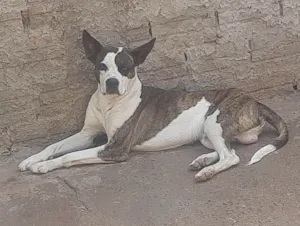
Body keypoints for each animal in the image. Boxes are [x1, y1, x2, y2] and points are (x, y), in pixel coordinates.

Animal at [17, 30, 290, 182]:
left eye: (126, 67)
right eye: (101, 66)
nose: (112, 82)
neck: (109, 103)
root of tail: (254, 100)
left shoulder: (114, 148)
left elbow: (69, 156)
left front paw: (43, 166)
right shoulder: (87, 133)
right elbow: (55, 146)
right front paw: (32, 159)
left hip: (216, 122)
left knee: (231, 156)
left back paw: (207, 172)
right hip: (207, 131)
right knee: (227, 149)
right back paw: (202, 161)